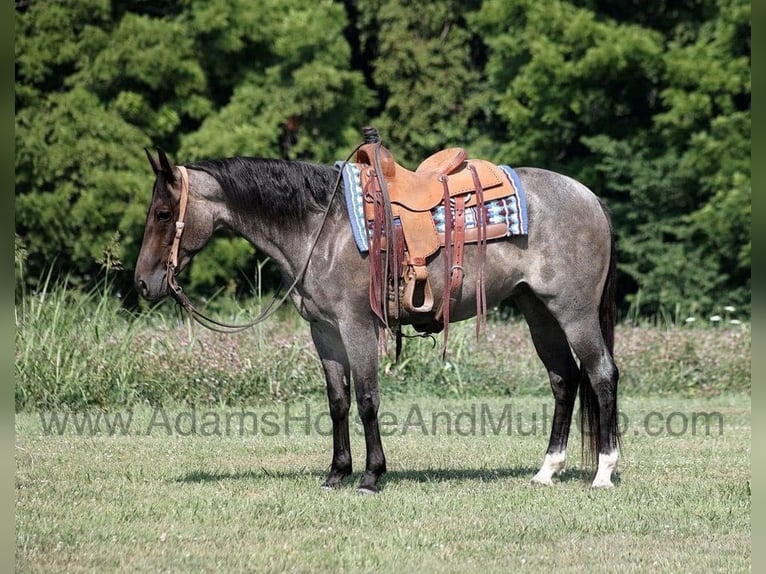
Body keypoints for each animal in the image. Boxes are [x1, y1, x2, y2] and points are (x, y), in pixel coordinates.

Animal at [134, 147, 620, 493]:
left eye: (163, 213)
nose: (142, 283)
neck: (321, 228)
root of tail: (590, 198)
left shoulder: (356, 326)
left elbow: (367, 399)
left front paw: (371, 476)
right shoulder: (324, 332)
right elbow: (338, 402)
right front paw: (336, 474)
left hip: (573, 311)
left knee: (601, 374)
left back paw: (604, 472)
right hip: (538, 311)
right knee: (564, 380)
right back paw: (547, 470)